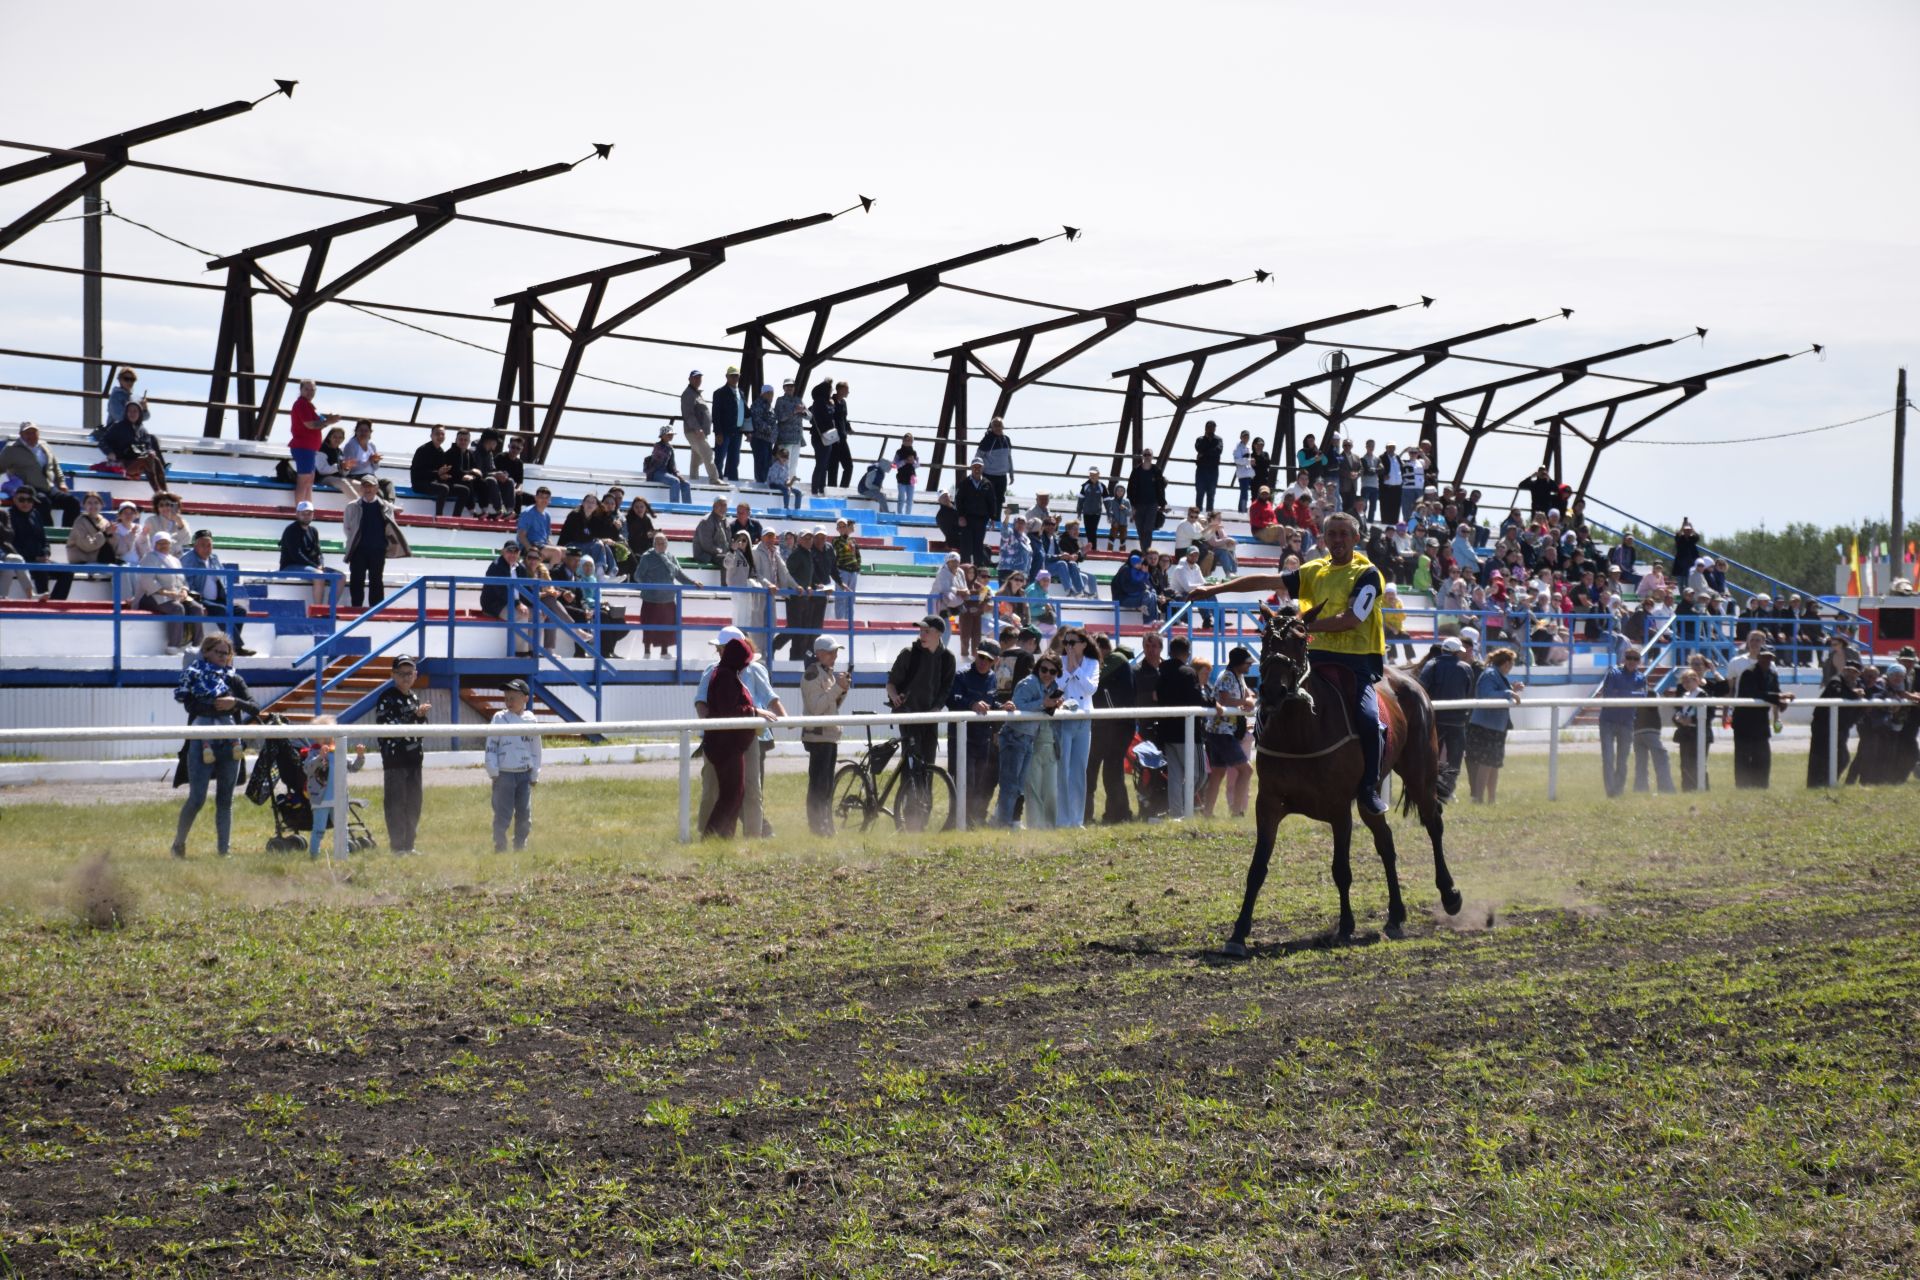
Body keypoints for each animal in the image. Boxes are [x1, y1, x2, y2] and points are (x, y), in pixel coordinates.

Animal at [1221, 606, 1459, 955]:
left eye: (1300, 639)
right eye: (1265, 639)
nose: (1273, 691)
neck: (1300, 731)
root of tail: (1410, 679)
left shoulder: (1338, 809)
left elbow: (1341, 870)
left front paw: (1346, 925)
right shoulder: (1268, 804)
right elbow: (1257, 869)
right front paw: (1238, 934)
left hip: (1419, 771)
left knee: (1434, 823)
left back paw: (1450, 895)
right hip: (1369, 797)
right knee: (1386, 842)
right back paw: (1395, 916)